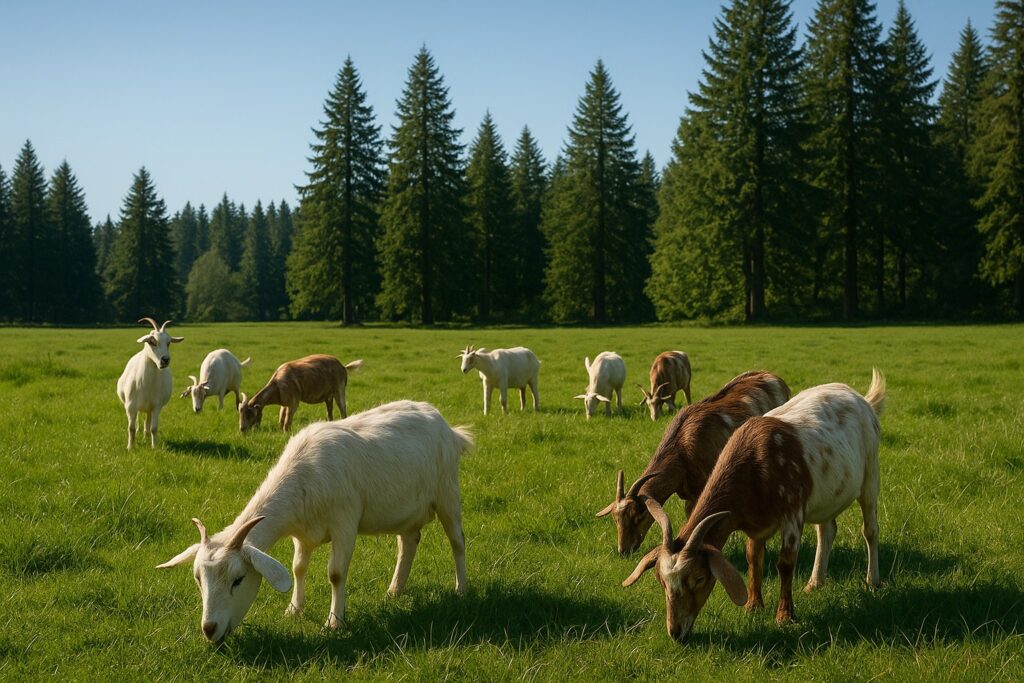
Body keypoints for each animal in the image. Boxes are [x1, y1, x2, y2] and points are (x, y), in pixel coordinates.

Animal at [116, 318, 184, 449]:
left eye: (169, 343)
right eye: (152, 342)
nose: (165, 360)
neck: (145, 383)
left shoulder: (156, 406)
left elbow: (154, 428)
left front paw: (154, 447)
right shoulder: (130, 406)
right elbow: (131, 428)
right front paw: (130, 447)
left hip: (149, 407)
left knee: (147, 421)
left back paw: (145, 437)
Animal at [157, 400, 472, 643]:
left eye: (238, 579)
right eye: (198, 579)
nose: (210, 630)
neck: (304, 471)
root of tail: (449, 428)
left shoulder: (345, 523)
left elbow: (336, 574)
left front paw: (334, 622)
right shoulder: (302, 534)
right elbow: (298, 567)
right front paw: (294, 610)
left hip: (447, 492)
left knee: (457, 541)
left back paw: (461, 589)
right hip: (407, 508)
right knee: (408, 543)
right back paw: (394, 591)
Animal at [623, 369, 886, 642]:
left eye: (699, 578)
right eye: (661, 581)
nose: (676, 633)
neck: (755, 464)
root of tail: (859, 397)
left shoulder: (793, 512)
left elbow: (785, 563)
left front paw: (785, 616)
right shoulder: (755, 523)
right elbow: (753, 557)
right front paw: (753, 605)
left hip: (870, 473)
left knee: (870, 529)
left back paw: (872, 581)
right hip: (826, 497)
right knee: (827, 530)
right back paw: (815, 583)